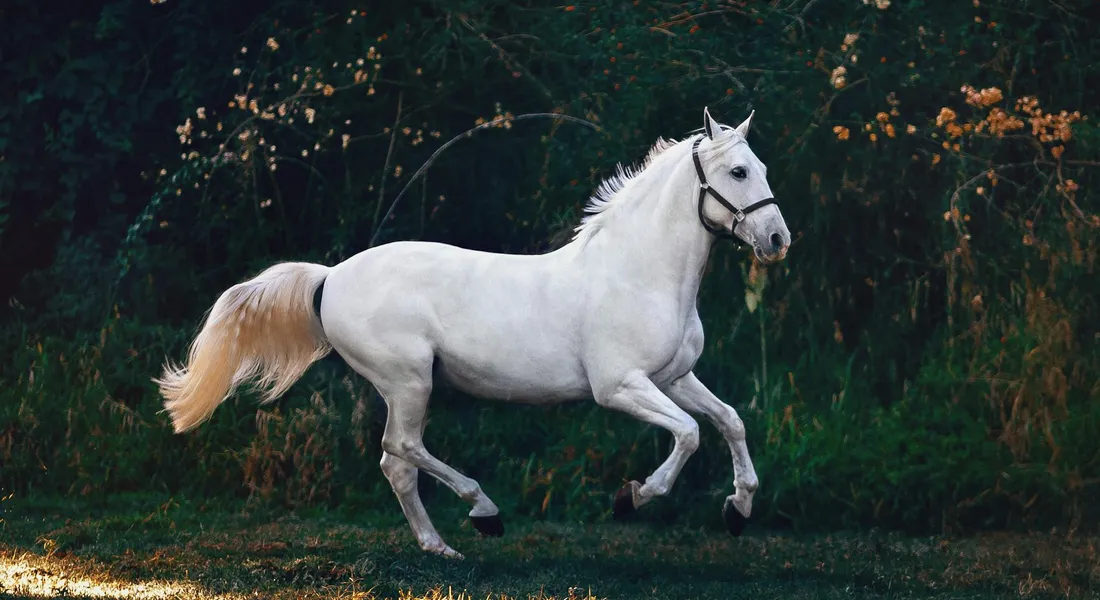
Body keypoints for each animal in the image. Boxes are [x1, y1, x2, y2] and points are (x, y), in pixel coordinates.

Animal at [156, 107, 791, 558]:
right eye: (738, 171)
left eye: (762, 169)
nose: (778, 240)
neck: (638, 272)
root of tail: (330, 276)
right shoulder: (620, 387)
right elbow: (688, 434)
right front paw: (631, 498)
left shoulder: (675, 377)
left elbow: (729, 421)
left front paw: (738, 510)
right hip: (409, 381)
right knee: (402, 449)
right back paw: (483, 513)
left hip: (407, 386)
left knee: (396, 463)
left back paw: (441, 547)